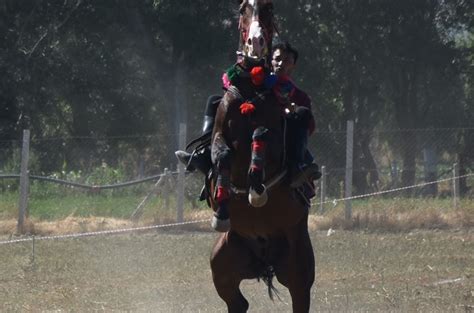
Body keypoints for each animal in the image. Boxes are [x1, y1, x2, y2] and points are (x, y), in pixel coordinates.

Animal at [208, 1, 314, 310]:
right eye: (243, 8)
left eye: (268, 9)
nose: (255, 42)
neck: (251, 89)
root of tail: (264, 263)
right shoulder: (220, 135)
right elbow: (222, 154)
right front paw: (221, 209)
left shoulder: (275, 141)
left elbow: (261, 135)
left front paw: (256, 188)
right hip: (222, 268)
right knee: (238, 304)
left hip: (299, 274)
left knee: (298, 298)